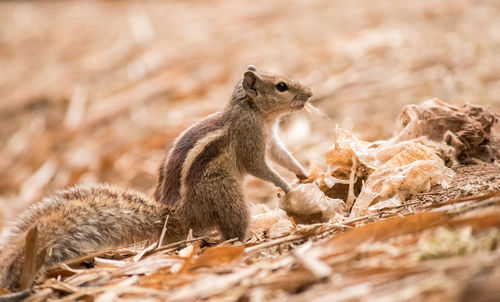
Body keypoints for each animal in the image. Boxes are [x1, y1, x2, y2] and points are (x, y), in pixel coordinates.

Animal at [0, 65, 312, 292]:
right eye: (281, 86)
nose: (309, 92)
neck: (252, 110)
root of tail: (175, 215)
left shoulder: (271, 139)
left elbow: (282, 155)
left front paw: (304, 174)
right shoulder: (250, 140)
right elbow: (260, 167)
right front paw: (285, 186)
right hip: (225, 191)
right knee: (231, 229)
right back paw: (246, 239)